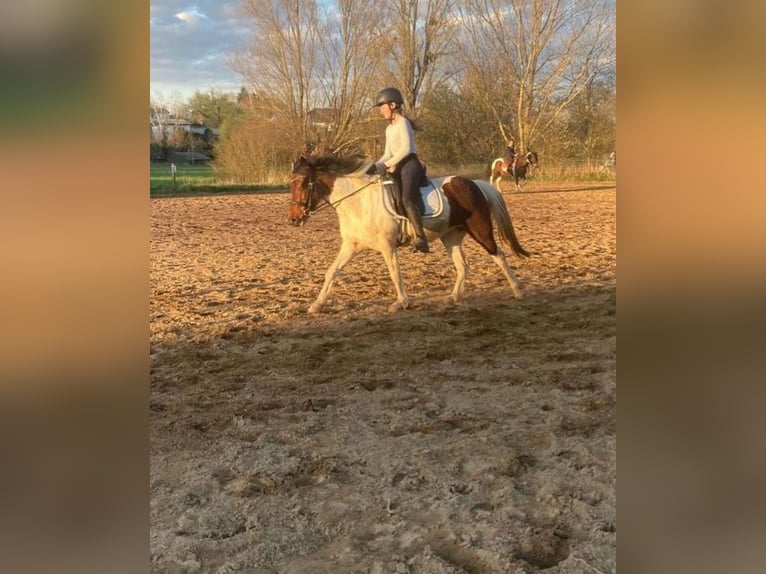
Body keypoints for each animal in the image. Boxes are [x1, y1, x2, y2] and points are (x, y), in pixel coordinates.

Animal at [287, 154, 530, 313]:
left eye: (302, 183)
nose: (293, 219)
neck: (358, 202)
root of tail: (474, 184)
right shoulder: (351, 246)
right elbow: (331, 272)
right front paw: (316, 305)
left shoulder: (387, 246)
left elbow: (395, 273)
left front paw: (401, 302)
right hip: (450, 237)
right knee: (463, 266)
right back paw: (452, 297)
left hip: (480, 230)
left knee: (499, 255)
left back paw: (518, 291)